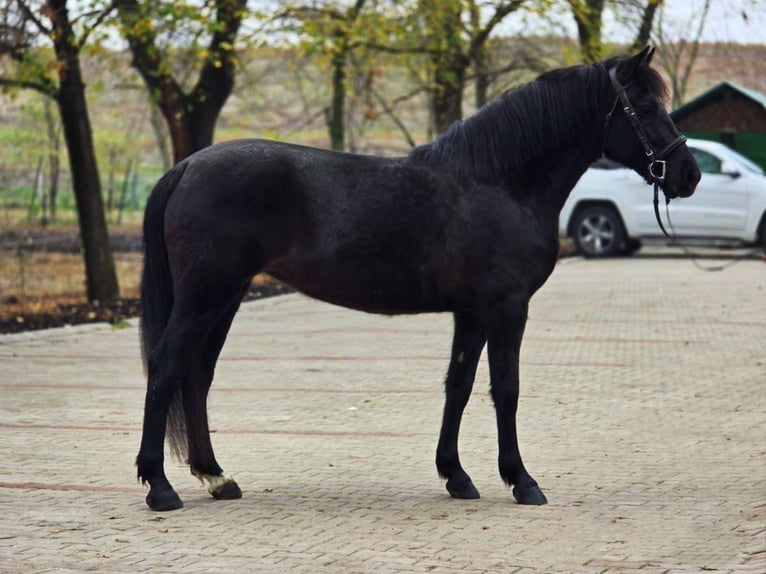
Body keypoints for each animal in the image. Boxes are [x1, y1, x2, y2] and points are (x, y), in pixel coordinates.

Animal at [136, 46, 700, 511]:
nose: (689, 175)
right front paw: (522, 481)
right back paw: (160, 488)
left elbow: (459, 385)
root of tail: (186, 166)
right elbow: (506, 387)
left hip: (226, 297)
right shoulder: (506, 307)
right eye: (645, 106)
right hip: (205, 296)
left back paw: (216, 477)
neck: (499, 183)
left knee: (197, 374)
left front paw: (457, 476)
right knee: (167, 367)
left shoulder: (471, 313)